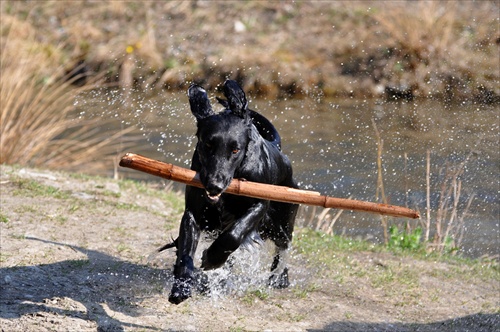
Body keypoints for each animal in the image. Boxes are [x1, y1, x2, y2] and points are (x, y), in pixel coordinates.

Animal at [165, 80, 296, 304]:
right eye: (207, 144)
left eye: (235, 150)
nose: (214, 185)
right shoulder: (194, 212)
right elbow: (185, 251)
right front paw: (181, 286)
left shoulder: (259, 205)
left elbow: (234, 235)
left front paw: (211, 258)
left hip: (281, 223)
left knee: (282, 247)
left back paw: (279, 279)